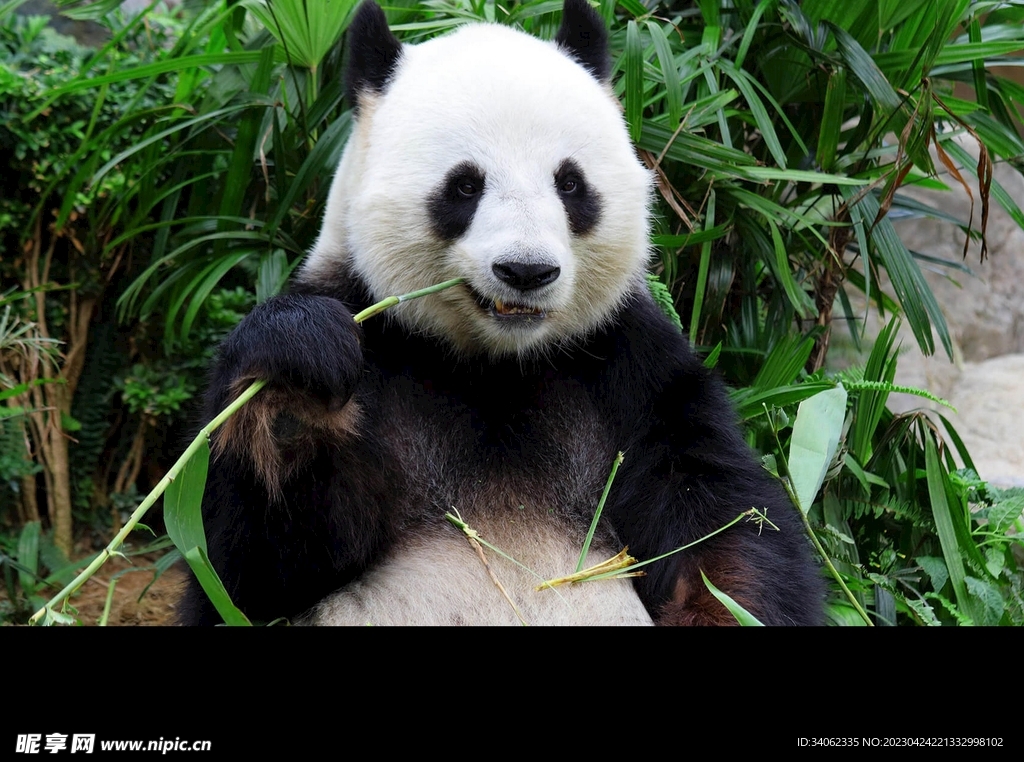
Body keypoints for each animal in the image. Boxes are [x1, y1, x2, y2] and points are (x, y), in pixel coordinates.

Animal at [177, 0, 823, 626]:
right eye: (465, 186)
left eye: (570, 183)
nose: (527, 271)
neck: (494, 363)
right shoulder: (373, 332)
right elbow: (250, 568)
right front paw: (297, 383)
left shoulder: (631, 366)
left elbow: (720, 525)